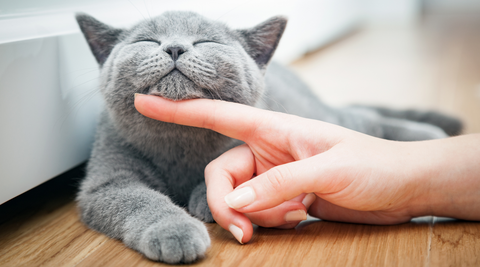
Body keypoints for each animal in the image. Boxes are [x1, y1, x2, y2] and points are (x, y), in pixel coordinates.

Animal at [74, 9, 462, 264]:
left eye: (206, 40)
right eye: (147, 40)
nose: (174, 48)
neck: (180, 140)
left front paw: (206, 200)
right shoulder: (107, 181)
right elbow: (140, 200)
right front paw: (176, 231)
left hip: (317, 115)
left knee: (362, 120)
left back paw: (430, 135)